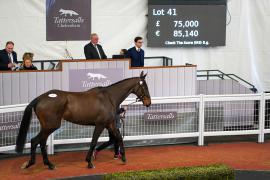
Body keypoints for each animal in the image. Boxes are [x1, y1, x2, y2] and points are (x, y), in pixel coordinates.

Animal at [15, 71, 152, 169]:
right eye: (145, 87)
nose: (148, 103)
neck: (109, 97)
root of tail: (40, 98)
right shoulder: (100, 124)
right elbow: (93, 142)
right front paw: (89, 162)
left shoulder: (110, 124)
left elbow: (118, 137)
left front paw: (123, 158)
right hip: (51, 126)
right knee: (35, 141)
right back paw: (32, 163)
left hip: (47, 127)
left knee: (41, 142)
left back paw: (48, 164)